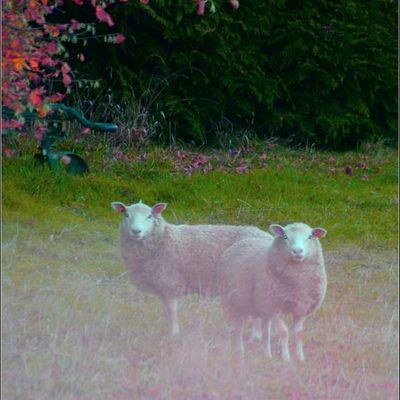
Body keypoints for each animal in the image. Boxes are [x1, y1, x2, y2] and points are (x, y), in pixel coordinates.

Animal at [111, 202, 272, 336]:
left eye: (149, 216)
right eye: (126, 215)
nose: (136, 231)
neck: (163, 238)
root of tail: (269, 237)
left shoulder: (170, 282)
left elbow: (172, 310)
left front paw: (174, 334)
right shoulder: (163, 286)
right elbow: (166, 311)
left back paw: (255, 336)